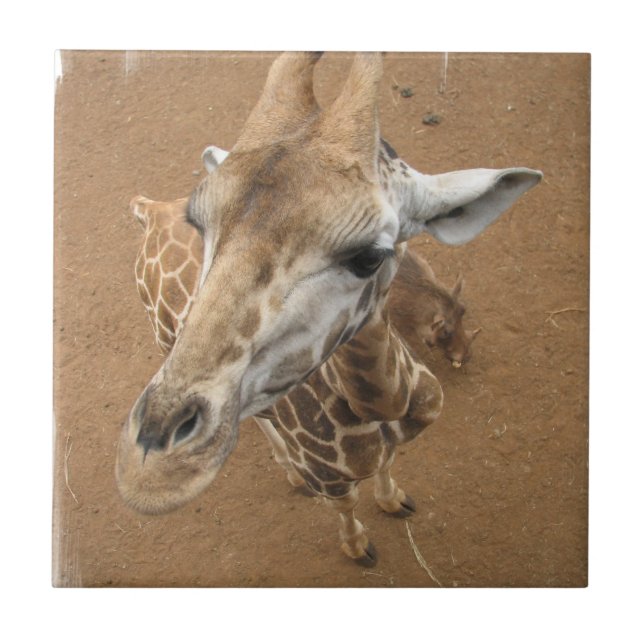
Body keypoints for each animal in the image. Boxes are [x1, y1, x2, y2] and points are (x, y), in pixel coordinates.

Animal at [116, 52, 542, 565]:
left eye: (369, 256)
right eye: (201, 225)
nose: (152, 473)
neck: (382, 410)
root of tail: (147, 210)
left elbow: (388, 469)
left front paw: (394, 501)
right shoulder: (331, 479)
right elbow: (347, 504)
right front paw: (358, 548)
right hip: (166, 342)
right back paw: (289, 472)